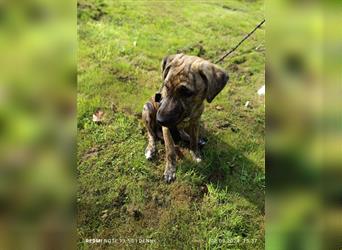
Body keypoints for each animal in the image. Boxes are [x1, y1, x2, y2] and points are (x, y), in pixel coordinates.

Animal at [142, 53, 230, 183]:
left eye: (187, 93)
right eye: (166, 86)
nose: (160, 120)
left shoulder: (195, 121)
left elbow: (193, 139)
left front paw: (195, 153)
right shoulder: (167, 128)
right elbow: (170, 150)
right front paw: (170, 170)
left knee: (183, 133)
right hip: (147, 109)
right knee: (151, 135)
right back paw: (151, 149)